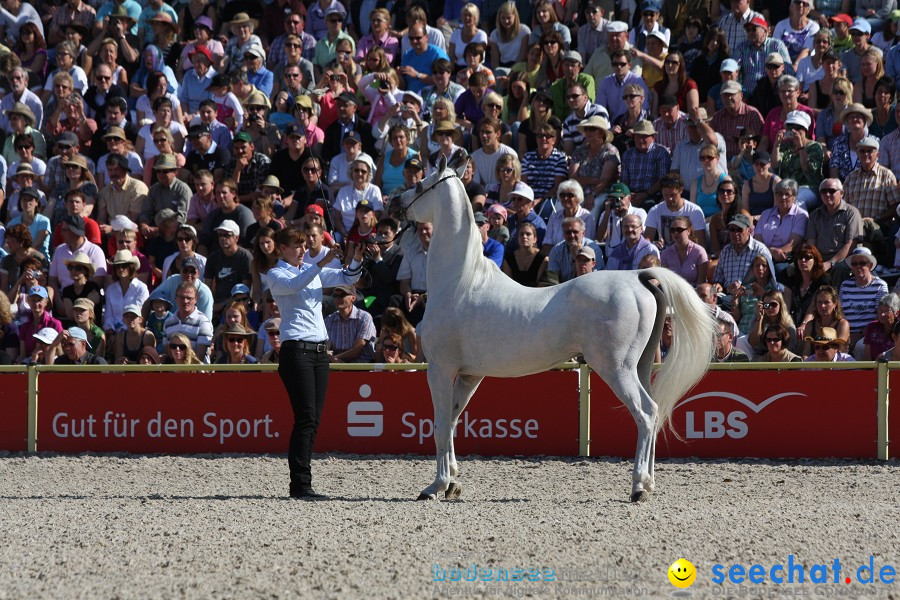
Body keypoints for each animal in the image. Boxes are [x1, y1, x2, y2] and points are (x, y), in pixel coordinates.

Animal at [390, 155, 712, 502]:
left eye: (420, 185)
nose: (395, 203)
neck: (460, 282)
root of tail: (638, 277)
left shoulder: (440, 369)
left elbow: (438, 426)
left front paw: (434, 487)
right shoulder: (468, 376)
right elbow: (451, 423)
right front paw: (451, 484)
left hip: (616, 368)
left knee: (647, 413)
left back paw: (639, 486)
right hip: (640, 365)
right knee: (654, 412)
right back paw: (649, 483)